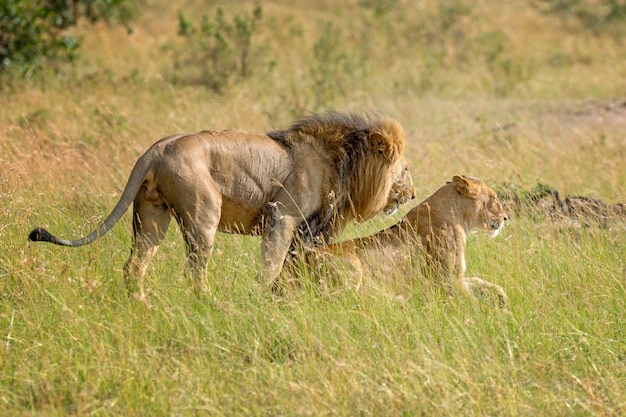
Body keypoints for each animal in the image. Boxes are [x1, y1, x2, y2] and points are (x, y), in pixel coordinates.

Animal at [28, 112, 414, 298]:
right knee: (194, 271)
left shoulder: (310, 230)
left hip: (151, 215)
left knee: (134, 265)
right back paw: (213, 303)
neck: (344, 163)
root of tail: (156, 148)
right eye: (406, 169)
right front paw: (263, 296)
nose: (412, 195)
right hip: (203, 215)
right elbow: (272, 262)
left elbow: (294, 264)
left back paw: (139, 301)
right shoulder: (282, 215)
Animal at [308, 174, 508, 304]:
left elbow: (484, 283)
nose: (506, 218)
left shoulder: (456, 277)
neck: (459, 218)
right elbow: (475, 305)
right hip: (352, 264)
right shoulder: (447, 280)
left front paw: (502, 297)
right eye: (493, 198)